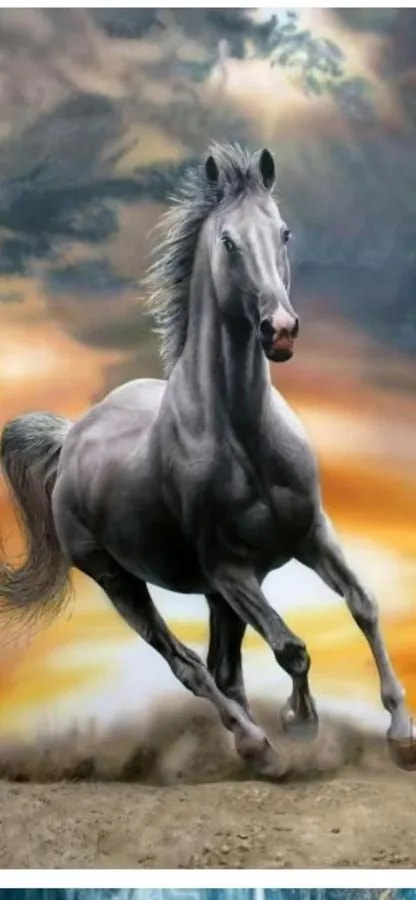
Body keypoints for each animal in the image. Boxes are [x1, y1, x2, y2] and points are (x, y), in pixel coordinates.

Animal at [0, 143, 410, 775]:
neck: (245, 439)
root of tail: (71, 438)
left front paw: (400, 733)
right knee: (190, 667)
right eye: (227, 241)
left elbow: (363, 605)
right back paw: (255, 744)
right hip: (120, 581)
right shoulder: (230, 570)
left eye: (284, 232)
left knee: (223, 668)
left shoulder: (312, 535)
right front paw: (299, 723)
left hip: (218, 596)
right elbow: (292, 648)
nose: (280, 330)